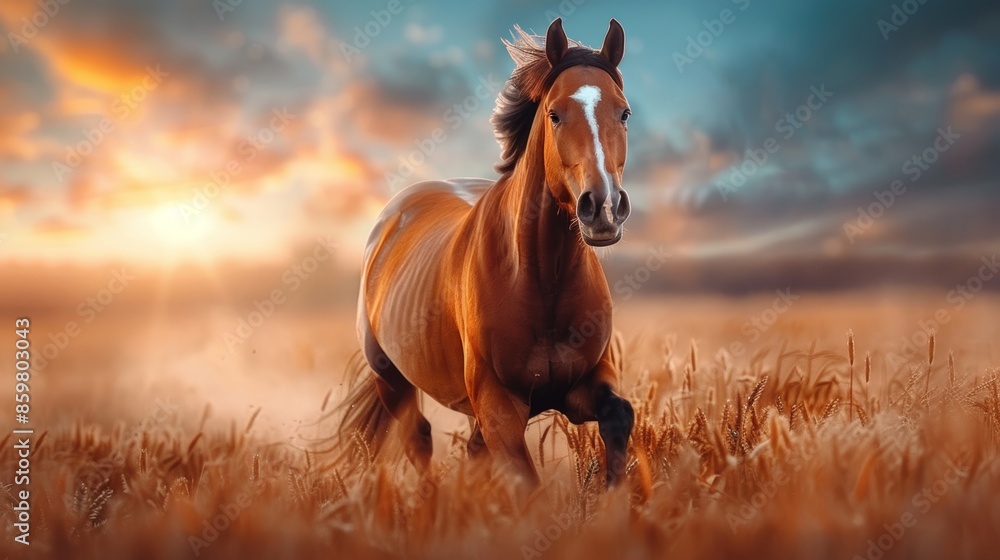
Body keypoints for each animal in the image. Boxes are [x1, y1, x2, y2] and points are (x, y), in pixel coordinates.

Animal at [339, 18, 634, 486]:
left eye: (623, 113)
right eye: (554, 115)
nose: (603, 207)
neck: (542, 281)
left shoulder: (583, 384)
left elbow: (620, 416)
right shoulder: (498, 407)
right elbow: (524, 483)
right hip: (391, 379)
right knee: (418, 440)